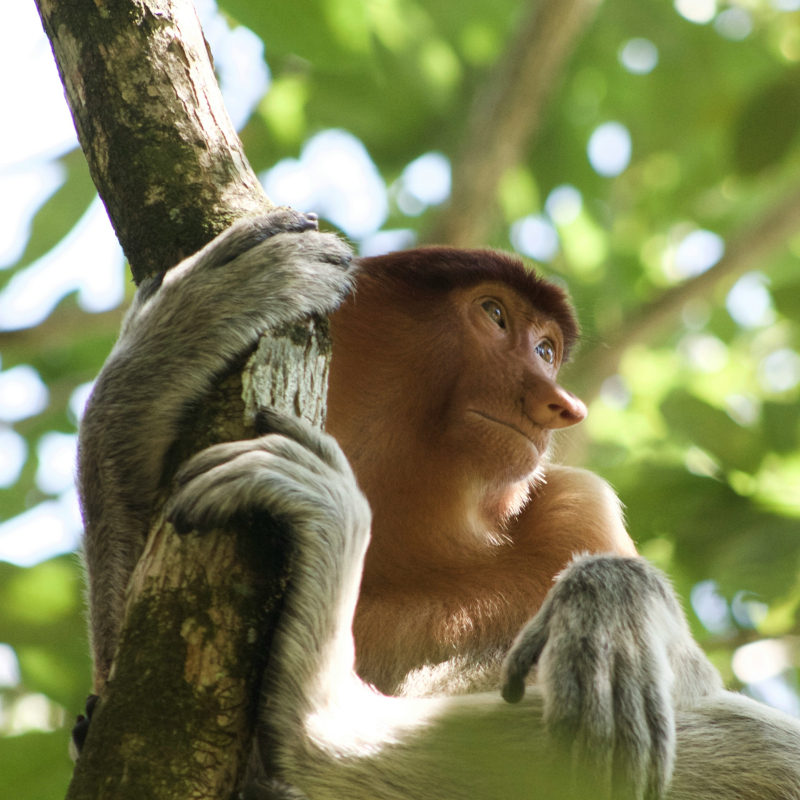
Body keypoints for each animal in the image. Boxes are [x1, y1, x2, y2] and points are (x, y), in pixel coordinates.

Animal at [76, 208, 800, 800]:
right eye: (495, 315)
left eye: (547, 349)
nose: (560, 405)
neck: (418, 545)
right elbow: (129, 726)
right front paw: (165, 344)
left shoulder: (578, 507)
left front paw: (609, 600)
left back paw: (323, 722)